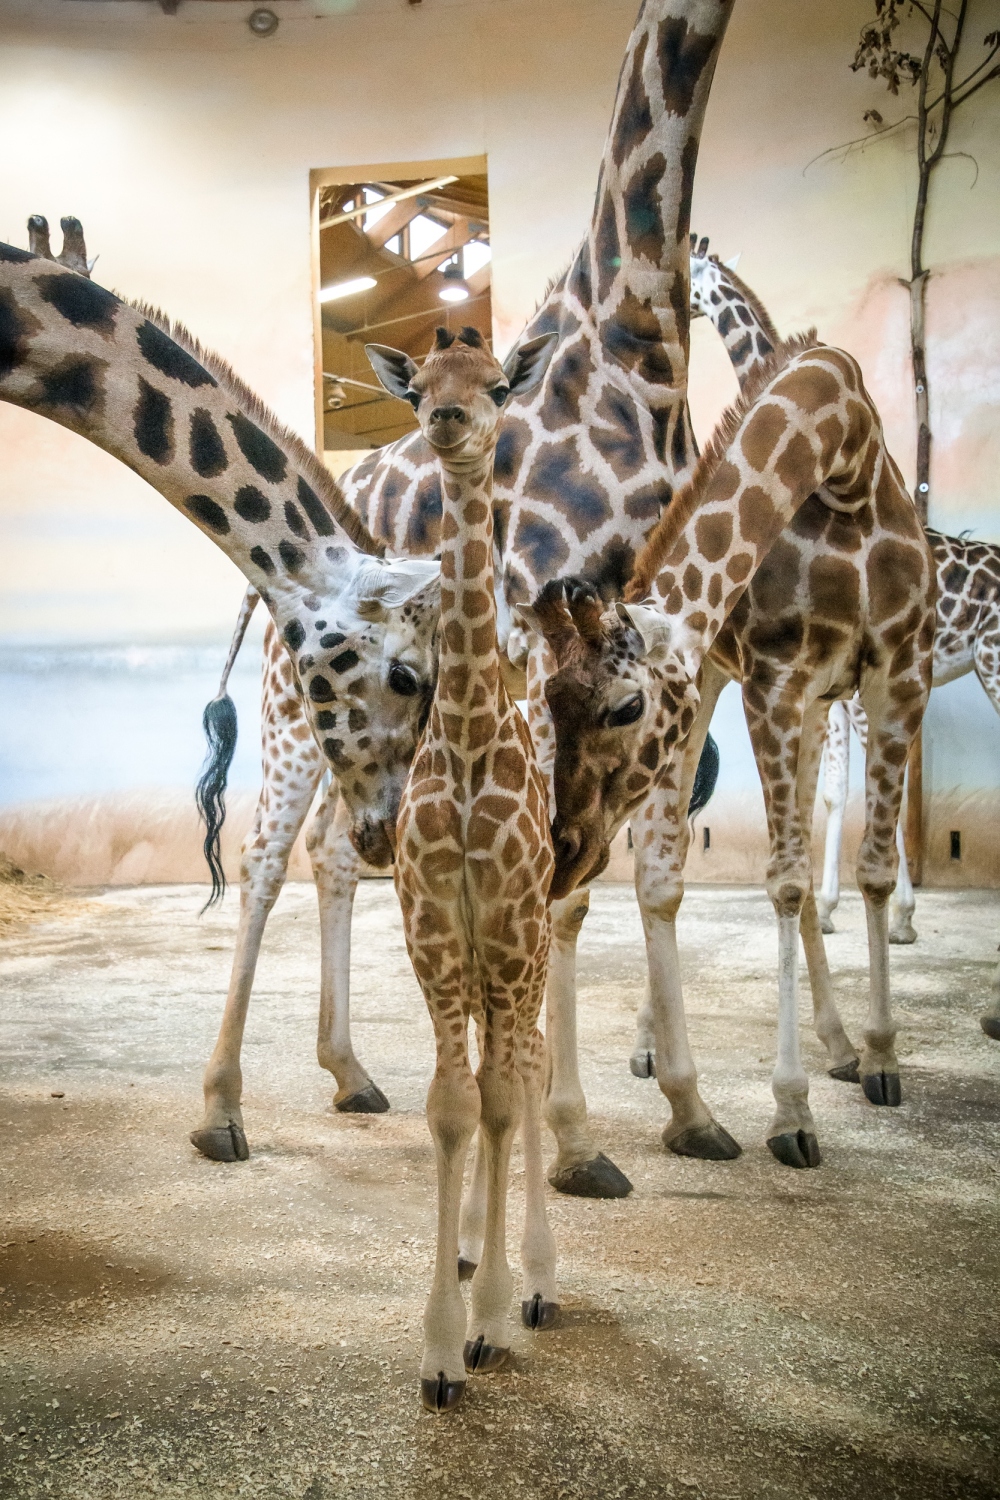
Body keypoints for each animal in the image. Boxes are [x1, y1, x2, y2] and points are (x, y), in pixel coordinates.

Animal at [193, 0, 734, 1194]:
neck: (635, 340)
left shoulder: (659, 657)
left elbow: (643, 874)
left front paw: (688, 1110)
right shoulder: (552, 633)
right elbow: (565, 885)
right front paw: (574, 1140)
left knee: (336, 850)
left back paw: (351, 1072)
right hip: (297, 707)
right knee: (266, 856)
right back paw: (223, 1108)